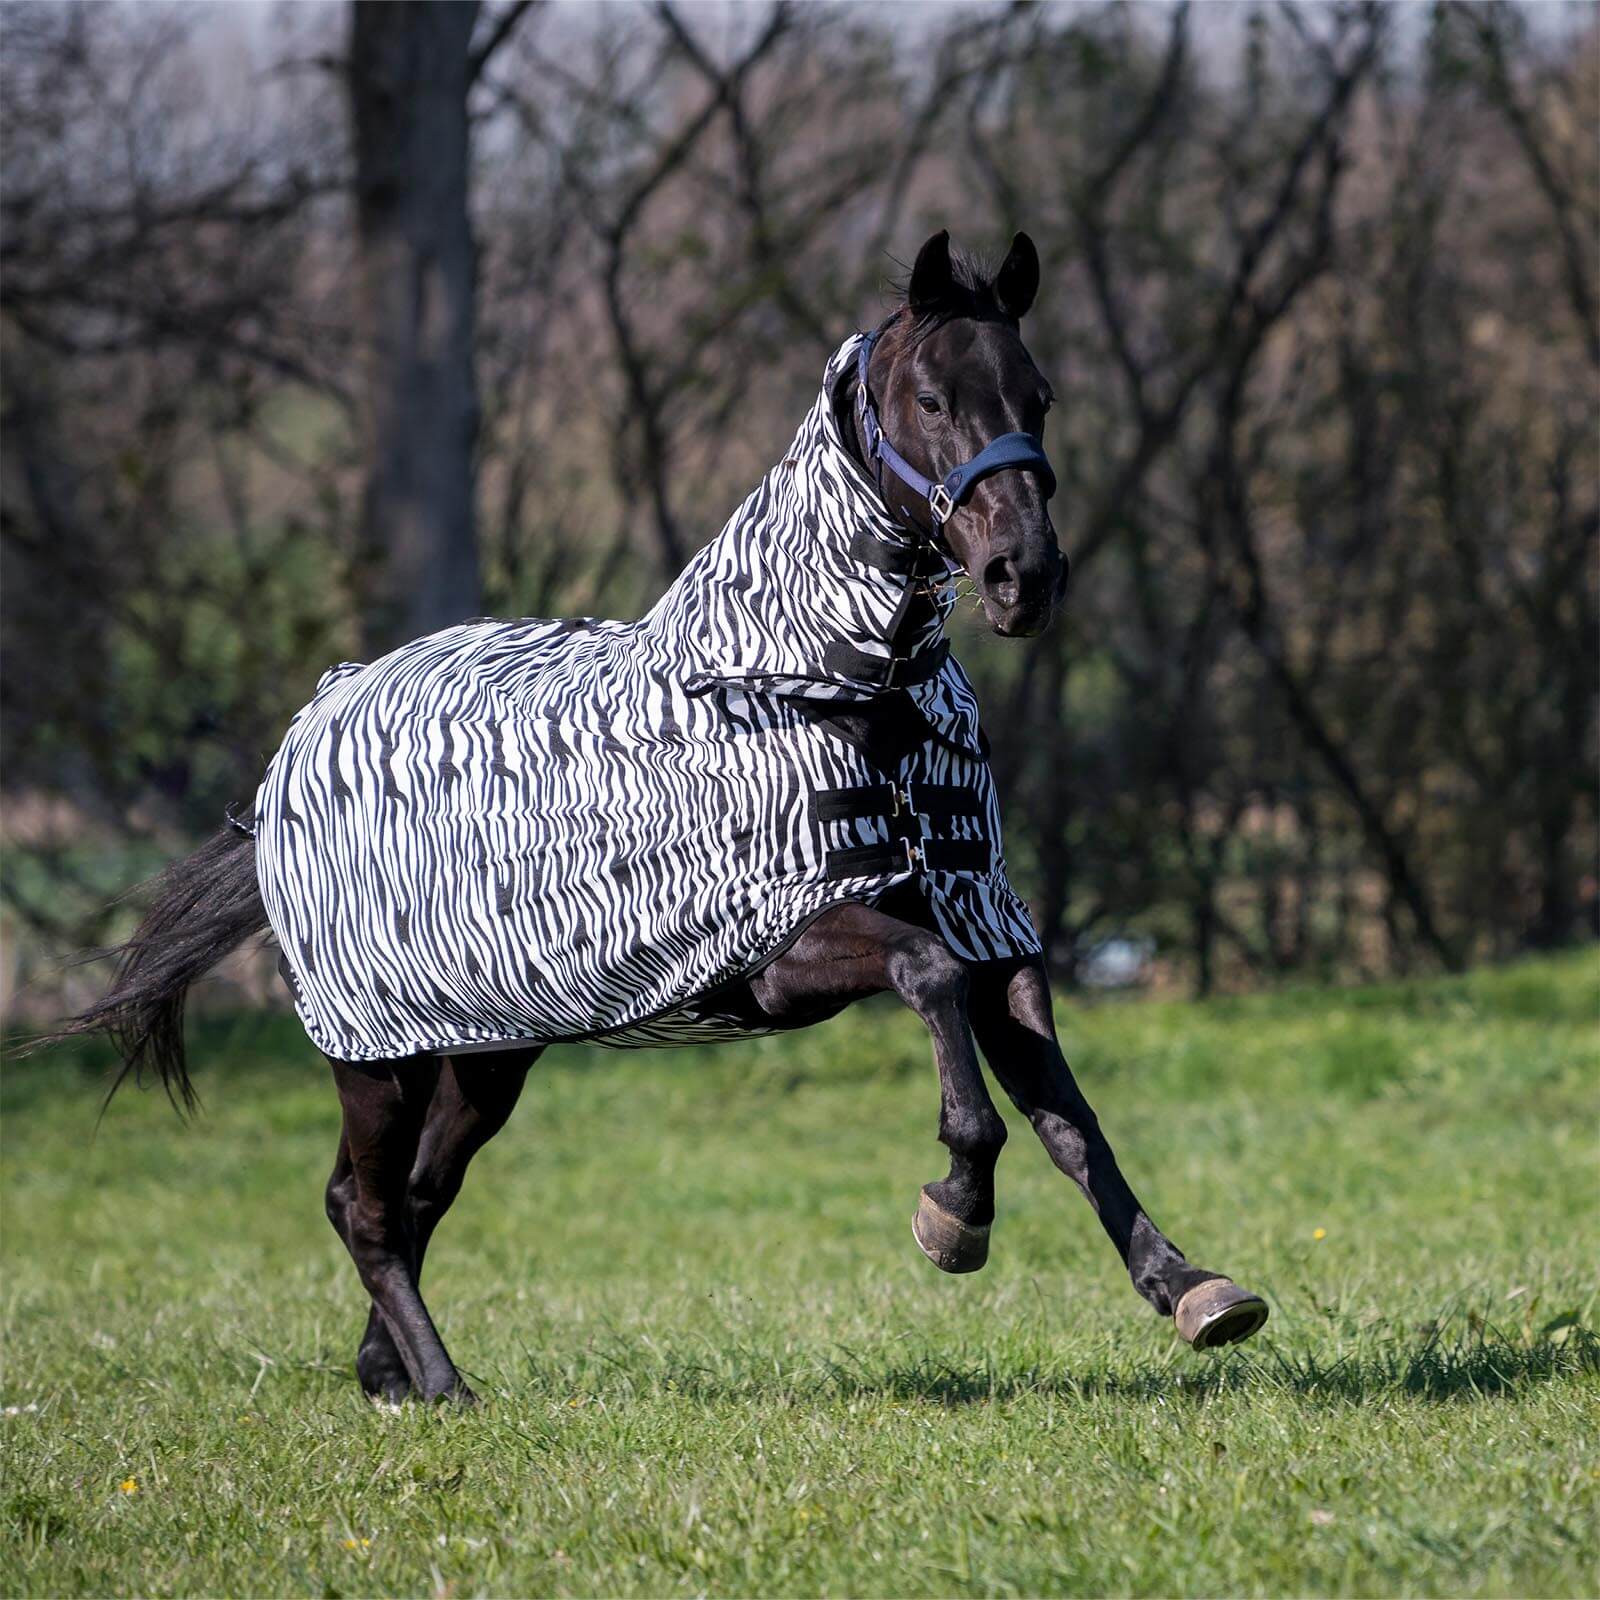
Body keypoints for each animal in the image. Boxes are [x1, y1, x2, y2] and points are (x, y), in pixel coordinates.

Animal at [53, 230, 1268, 1405]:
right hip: (377, 1056)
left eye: (1040, 395)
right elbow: (934, 999)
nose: (1027, 576)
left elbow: (1067, 1114)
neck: (824, 685)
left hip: (486, 1053)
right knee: (369, 1205)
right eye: (931, 399)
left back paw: (384, 1371)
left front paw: (1191, 1288)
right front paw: (954, 1215)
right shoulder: (792, 937)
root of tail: (309, 729)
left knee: (409, 1193)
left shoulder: (986, 920)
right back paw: (443, 1385)